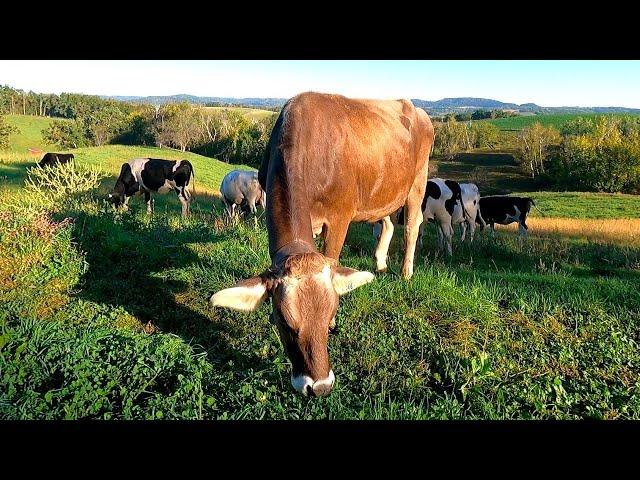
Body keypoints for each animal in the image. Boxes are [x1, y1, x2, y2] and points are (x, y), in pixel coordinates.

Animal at [210, 93, 436, 398]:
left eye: (331, 316)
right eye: (285, 323)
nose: (319, 386)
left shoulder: (340, 216)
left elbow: (334, 257)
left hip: (417, 182)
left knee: (412, 226)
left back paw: (406, 272)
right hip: (384, 191)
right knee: (388, 224)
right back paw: (379, 263)